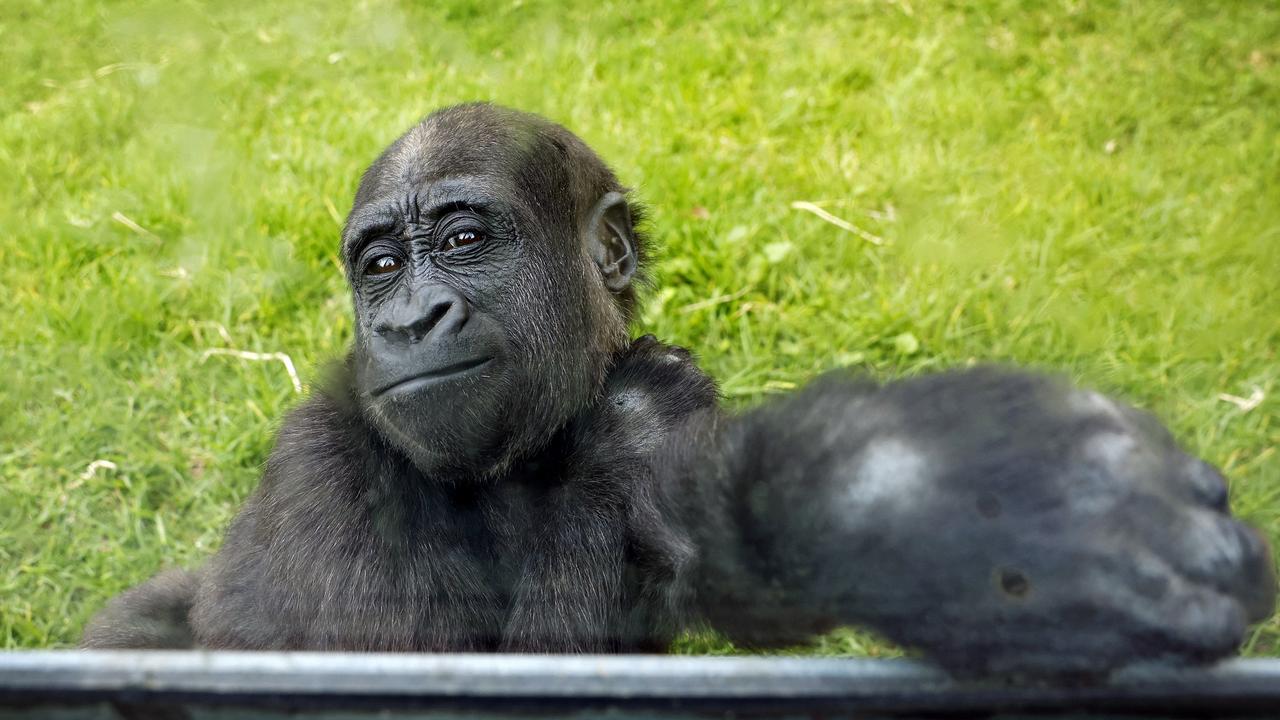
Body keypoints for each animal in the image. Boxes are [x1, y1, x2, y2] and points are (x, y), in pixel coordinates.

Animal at [85, 103, 1274, 676]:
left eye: (463, 240)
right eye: (378, 264)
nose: (406, 321)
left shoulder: (682, 427)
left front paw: (967, 507)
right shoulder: (323, 471)